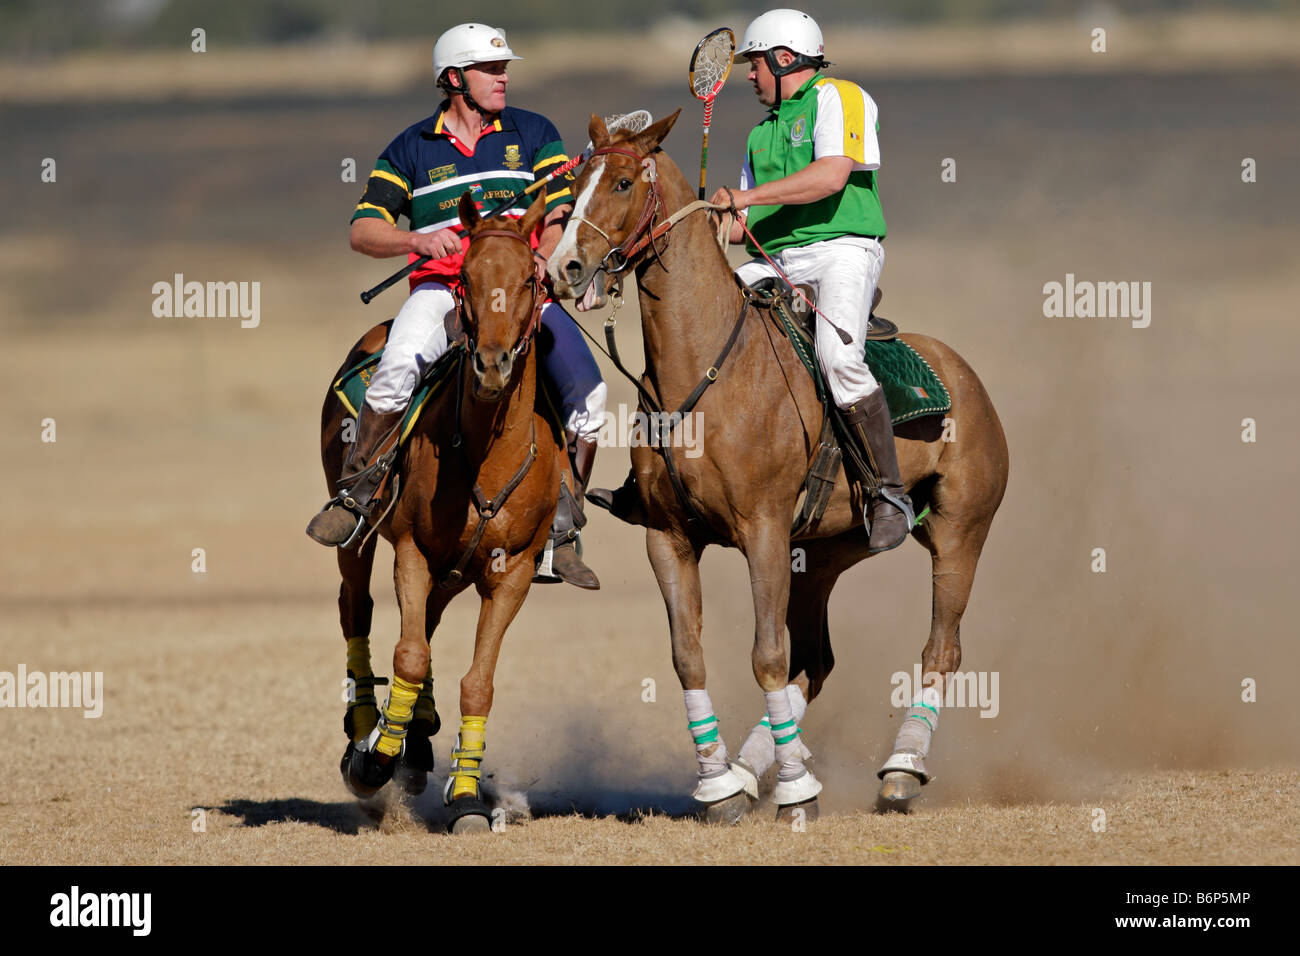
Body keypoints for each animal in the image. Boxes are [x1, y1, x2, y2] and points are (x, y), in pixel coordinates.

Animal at [319, 187, 564, 832]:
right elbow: (406, 654)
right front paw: (374, 758)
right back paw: (369, 730)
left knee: (425, 619)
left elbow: (477, 682)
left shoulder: (512, 572)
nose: (492, 365)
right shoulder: (410, 548)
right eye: (466, 278)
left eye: (529, 280)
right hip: (361, 537)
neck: (485, 456)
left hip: (455, 569)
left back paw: (421, 737)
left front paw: (466, 796)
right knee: (358, 608)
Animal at [543, 110, 1008, 816]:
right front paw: (719, 785)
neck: (704, 370)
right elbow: (689, 656)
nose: (563, 267)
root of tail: (966, 375)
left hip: (960, 533)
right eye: (574, 183)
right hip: (821, 553)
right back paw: (750, 765)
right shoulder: (668, 537)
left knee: (941, 649)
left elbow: (765, 655)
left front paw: (793, 794)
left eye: (622, 182)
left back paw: (900, 770)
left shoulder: (761, 529)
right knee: (815, 661)